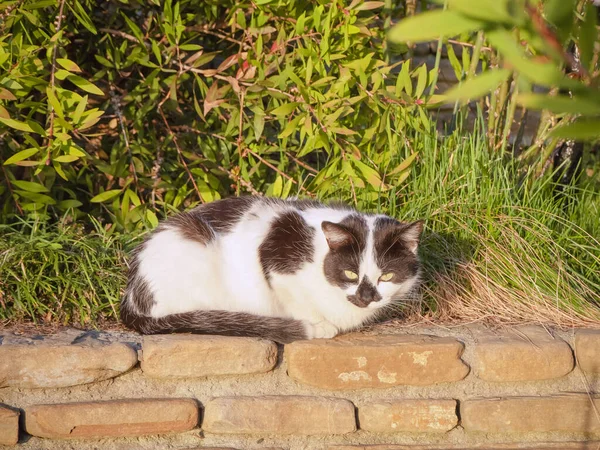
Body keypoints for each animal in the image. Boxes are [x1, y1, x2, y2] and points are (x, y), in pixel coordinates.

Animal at [120, 196, 422, 342]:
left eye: (386, 276)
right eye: (350, 273)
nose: (365, 297)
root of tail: (132, 294)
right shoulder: (276, 258)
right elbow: (295, 298)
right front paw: (319, 325)